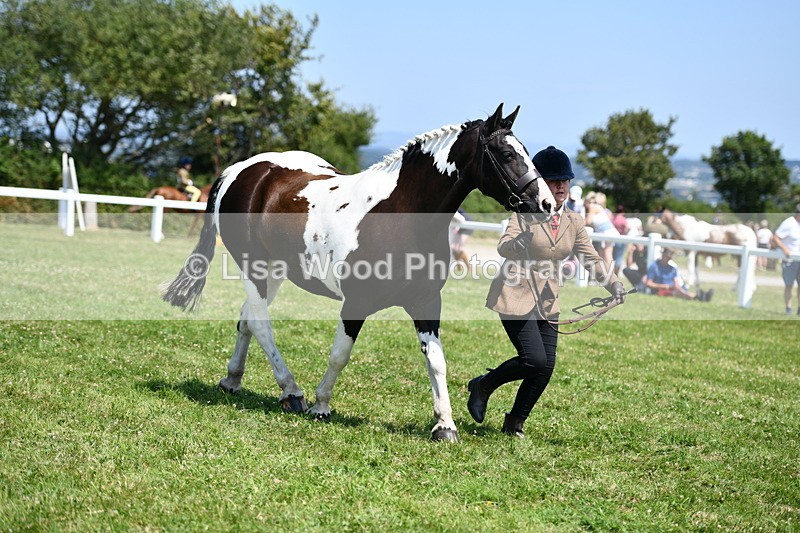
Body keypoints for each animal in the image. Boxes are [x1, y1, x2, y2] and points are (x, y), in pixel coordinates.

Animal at [161, 104, 556, 442]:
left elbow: (437, 361)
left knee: (246, 320)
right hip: (253, 266)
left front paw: (444, 425)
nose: (547, 204)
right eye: (506, 154)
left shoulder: (426, 302)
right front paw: (321, 405)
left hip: (275, 270)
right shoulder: (356, 302)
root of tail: (240, 170)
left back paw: (233, 380)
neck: (400, 213)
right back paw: (292, 391)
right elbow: (340, 354)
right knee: (260, 323)